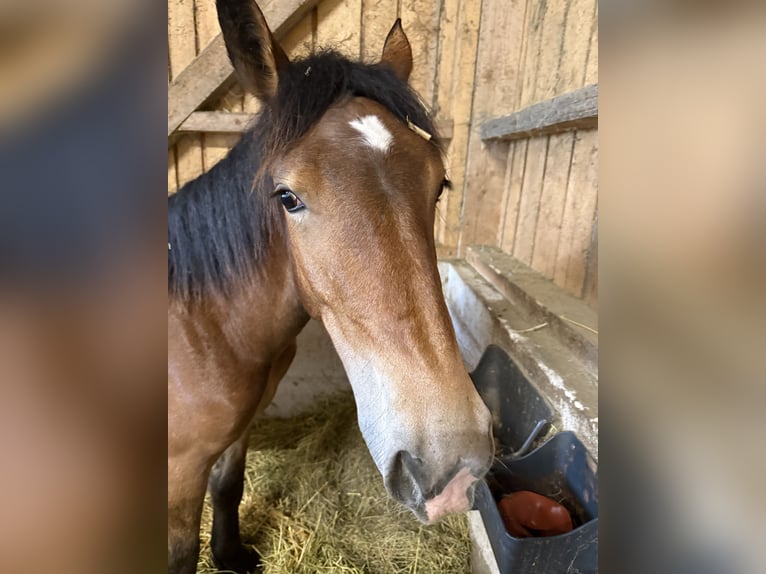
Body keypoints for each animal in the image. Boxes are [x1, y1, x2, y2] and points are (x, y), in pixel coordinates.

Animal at [168, 1, 494, 572]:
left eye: (440, 185)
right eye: (287, 197)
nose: (451, 466)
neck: (207, 329)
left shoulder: (240, 430)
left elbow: (228, 486)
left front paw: (232, 556)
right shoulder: (180, 468)